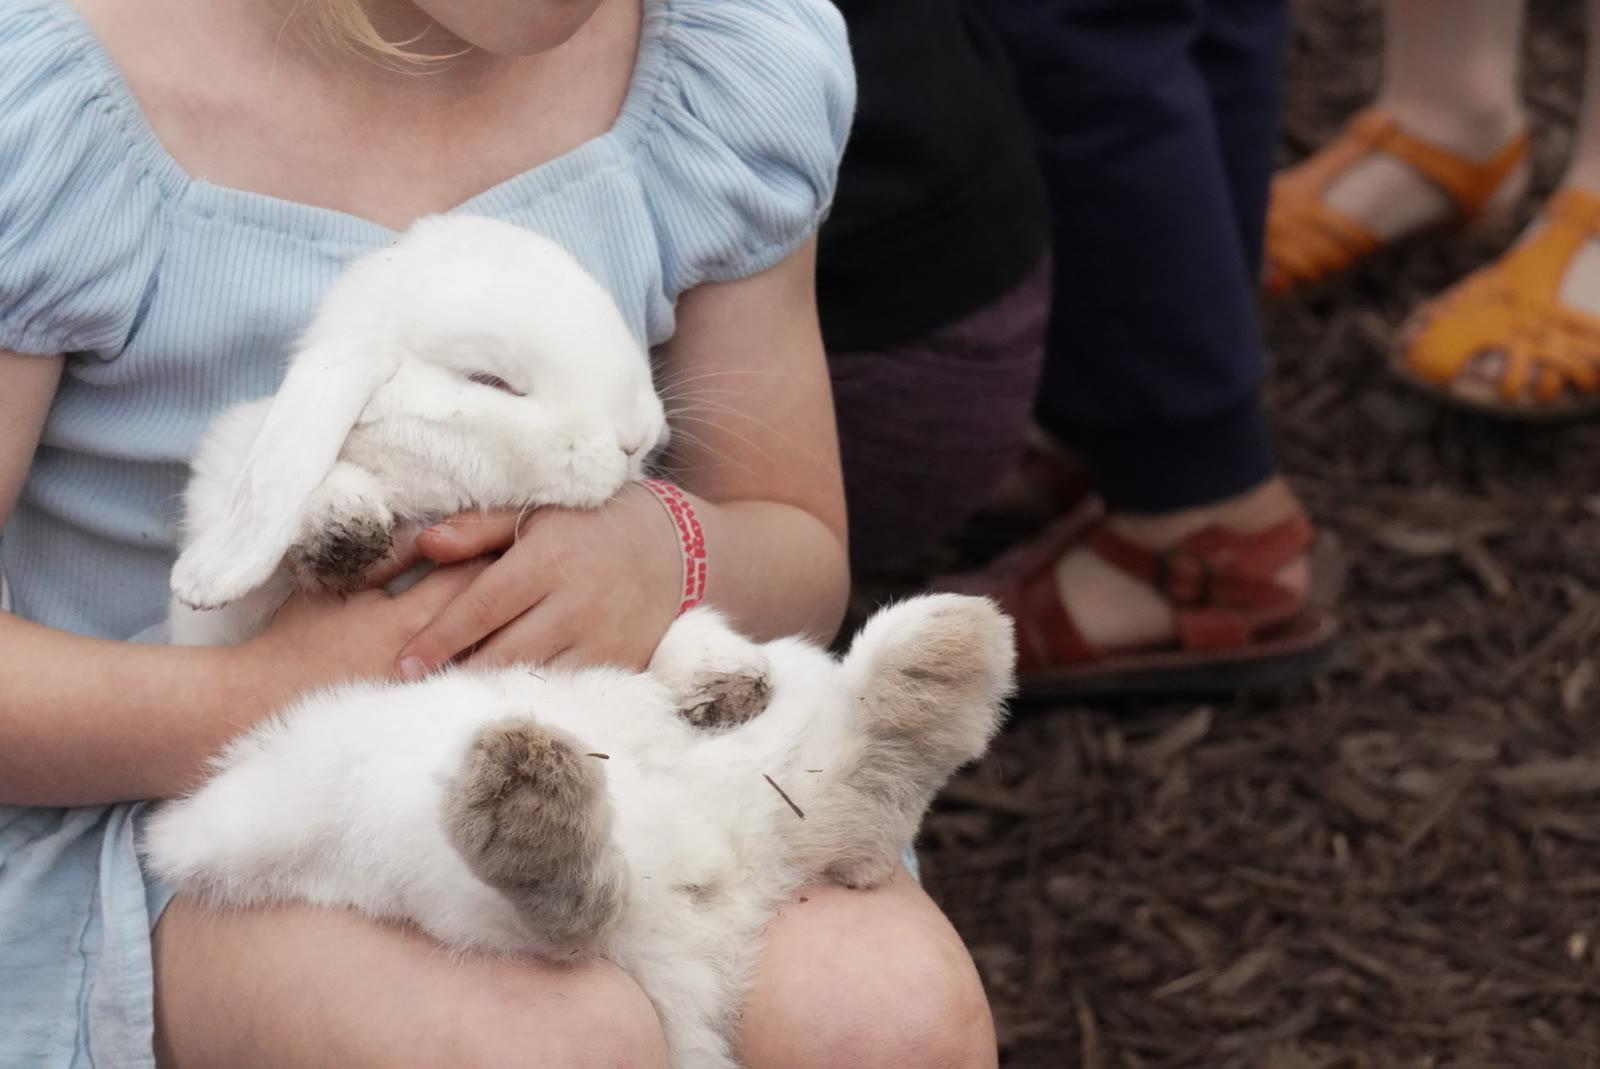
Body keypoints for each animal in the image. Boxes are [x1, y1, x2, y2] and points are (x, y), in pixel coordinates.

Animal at [142, 593, 1016, 1069]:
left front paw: (719, 679)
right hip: (415, 849)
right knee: (571, 911)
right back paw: (531, 791)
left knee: (852, 805)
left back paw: (938, 663)